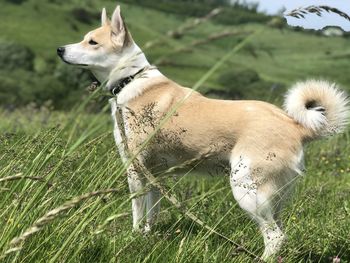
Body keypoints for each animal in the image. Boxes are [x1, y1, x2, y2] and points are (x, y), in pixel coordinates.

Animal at [56, 3, 348, 260]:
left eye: (92, 42)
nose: (60, 49)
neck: (131, 79)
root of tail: (296, 126)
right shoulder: (155, 175)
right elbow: (152, 212)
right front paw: (146, 238)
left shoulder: (135, 169)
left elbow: (137, 211)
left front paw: (134, 236)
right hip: (274, 198)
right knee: (280, 233)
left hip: (248, 191)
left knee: (274, 237)